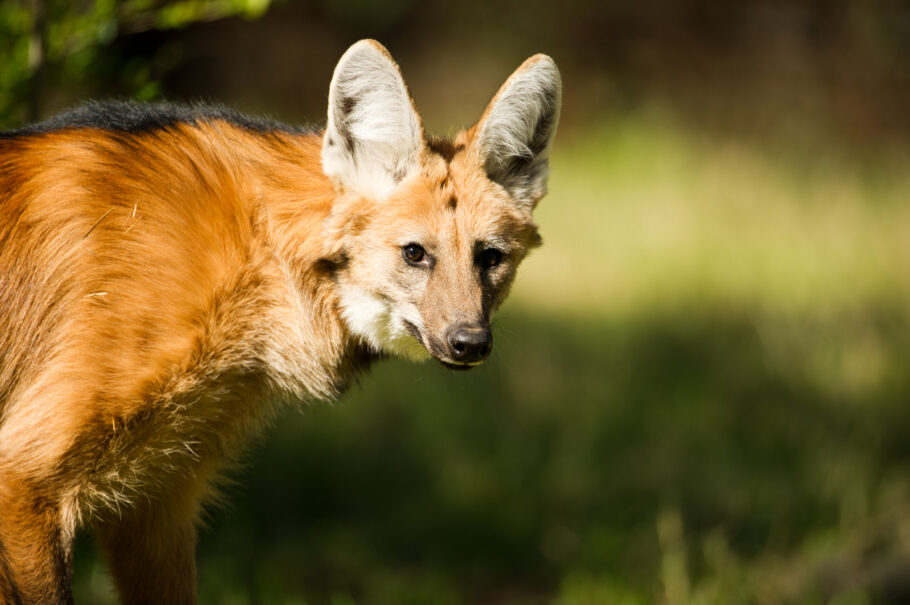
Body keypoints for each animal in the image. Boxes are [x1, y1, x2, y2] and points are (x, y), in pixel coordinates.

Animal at [0, 40, 564, 600]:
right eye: (414, 254)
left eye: (489, 258)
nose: (470, 342)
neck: (260, 254)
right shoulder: (24, 476)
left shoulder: (155, 499)